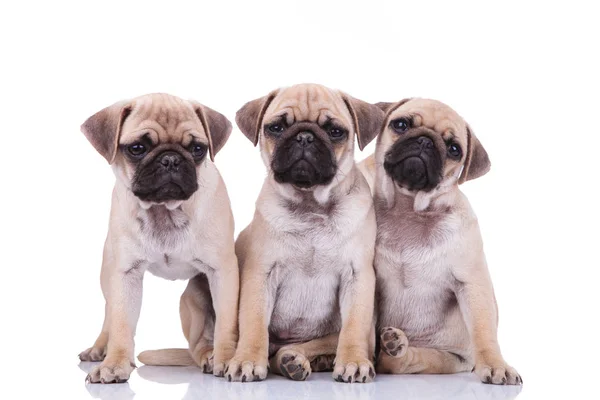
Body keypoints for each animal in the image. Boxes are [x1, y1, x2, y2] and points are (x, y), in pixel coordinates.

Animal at [78, 94, 239, 384]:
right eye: (137, 148)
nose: (171, 159)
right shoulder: (125, 274)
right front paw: (114, 364)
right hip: (109, 275)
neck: (165, 211)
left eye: (197, 149)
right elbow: (121, 324)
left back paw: (211, 357)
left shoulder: (223, 272)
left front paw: (225, 358)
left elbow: (225, 322)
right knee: (110, 316)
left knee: (198, 344)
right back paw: (100, 348)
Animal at [224, 83, 384, 382]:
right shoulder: (260, 274)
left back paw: (297, 359)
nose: (305, 137)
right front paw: (247, 360)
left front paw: (354, 361)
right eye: (276, 128)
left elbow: (353, 327)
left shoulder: (358, 276)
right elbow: (253, 323)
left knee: (313, 344)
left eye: (335, 131)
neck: (310, 205)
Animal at [358, 97, 524, 384]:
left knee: (404, 363)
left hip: (448, 359)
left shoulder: (472, 282)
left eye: (454, 149)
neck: (409, 210)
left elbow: (484, 330)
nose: (425, 141)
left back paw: (396, 348)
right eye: (400, 125)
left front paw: (495, 364)